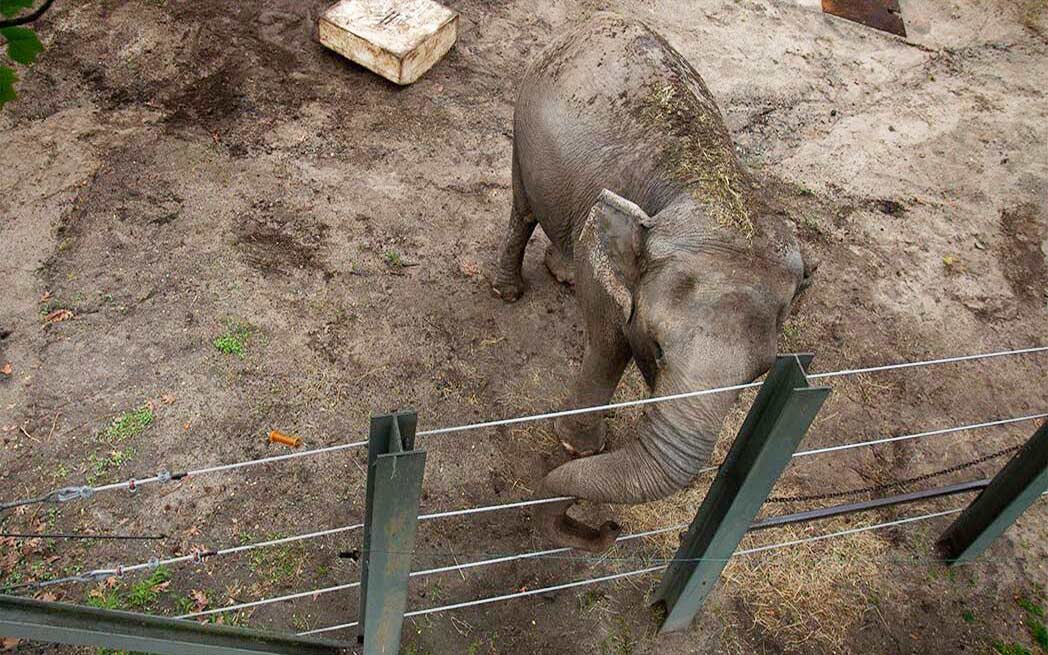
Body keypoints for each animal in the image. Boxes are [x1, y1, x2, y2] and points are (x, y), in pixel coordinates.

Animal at [492, 13, 813, 552]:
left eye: (758, 374)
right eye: (659, 351)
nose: (609, 528)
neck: (709, 187)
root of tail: (595, 21)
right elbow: (607, 343)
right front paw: (578, 447)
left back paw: (562, 274)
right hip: (522, 125)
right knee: (523, 208)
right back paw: (507, 291)